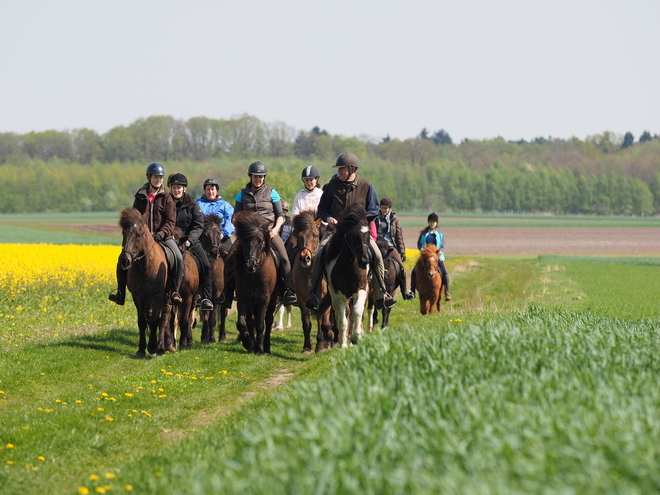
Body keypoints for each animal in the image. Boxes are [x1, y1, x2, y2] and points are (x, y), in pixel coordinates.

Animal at [118, 206, 175, 356]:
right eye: (123, 233)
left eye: (139, 234)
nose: (125, 260)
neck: (145, 266)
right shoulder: (138, 295)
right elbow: (142, 321)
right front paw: (141, 349)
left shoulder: (157, 295)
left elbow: (155, 320)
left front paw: (153, 346)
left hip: (167, 297)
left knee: (164, 319)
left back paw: (162, 347)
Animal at [232, 211, 278, 354]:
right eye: (244, 241)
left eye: (261, 242)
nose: (250, 266)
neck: (254, 275)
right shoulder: (243, 297)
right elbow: (242, 324)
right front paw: (249, 344)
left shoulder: (264, 298)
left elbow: (261, 324)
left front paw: (260, 349)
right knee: (251, 320)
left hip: (272, 298)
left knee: (268, 320)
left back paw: (266, 347)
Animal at [288, 211, 332, 354]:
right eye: (299, 237)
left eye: (315, 235)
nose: (305, 258)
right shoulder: (303, 300)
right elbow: (307, 324)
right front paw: (307, 347)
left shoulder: (325, 298)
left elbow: (323, 321)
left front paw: (324, 343)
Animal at [324, 202, 374, 348]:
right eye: (354, 234)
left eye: (368, 233)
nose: (364, 260)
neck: (348, 266)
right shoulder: (339, 295)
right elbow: (342, 320)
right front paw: (343, 344)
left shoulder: (361, 289)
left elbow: (357, 312)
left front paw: (356, 337)